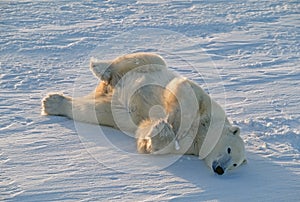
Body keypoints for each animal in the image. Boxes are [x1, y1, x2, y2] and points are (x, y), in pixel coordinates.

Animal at [42, 52, 246, 175]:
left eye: (234, 165)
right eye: (228, 149)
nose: (220, 169)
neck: (204, 128)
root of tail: (108, 89)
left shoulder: (192, 146)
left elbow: (150, 136)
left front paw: (156, 134)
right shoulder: (207, 103)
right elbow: (183, 90)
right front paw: (172, 121)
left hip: (109, 111)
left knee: (90, 111)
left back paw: (53, 102)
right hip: (148, 67)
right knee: (146, 59)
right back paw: (99, 68)